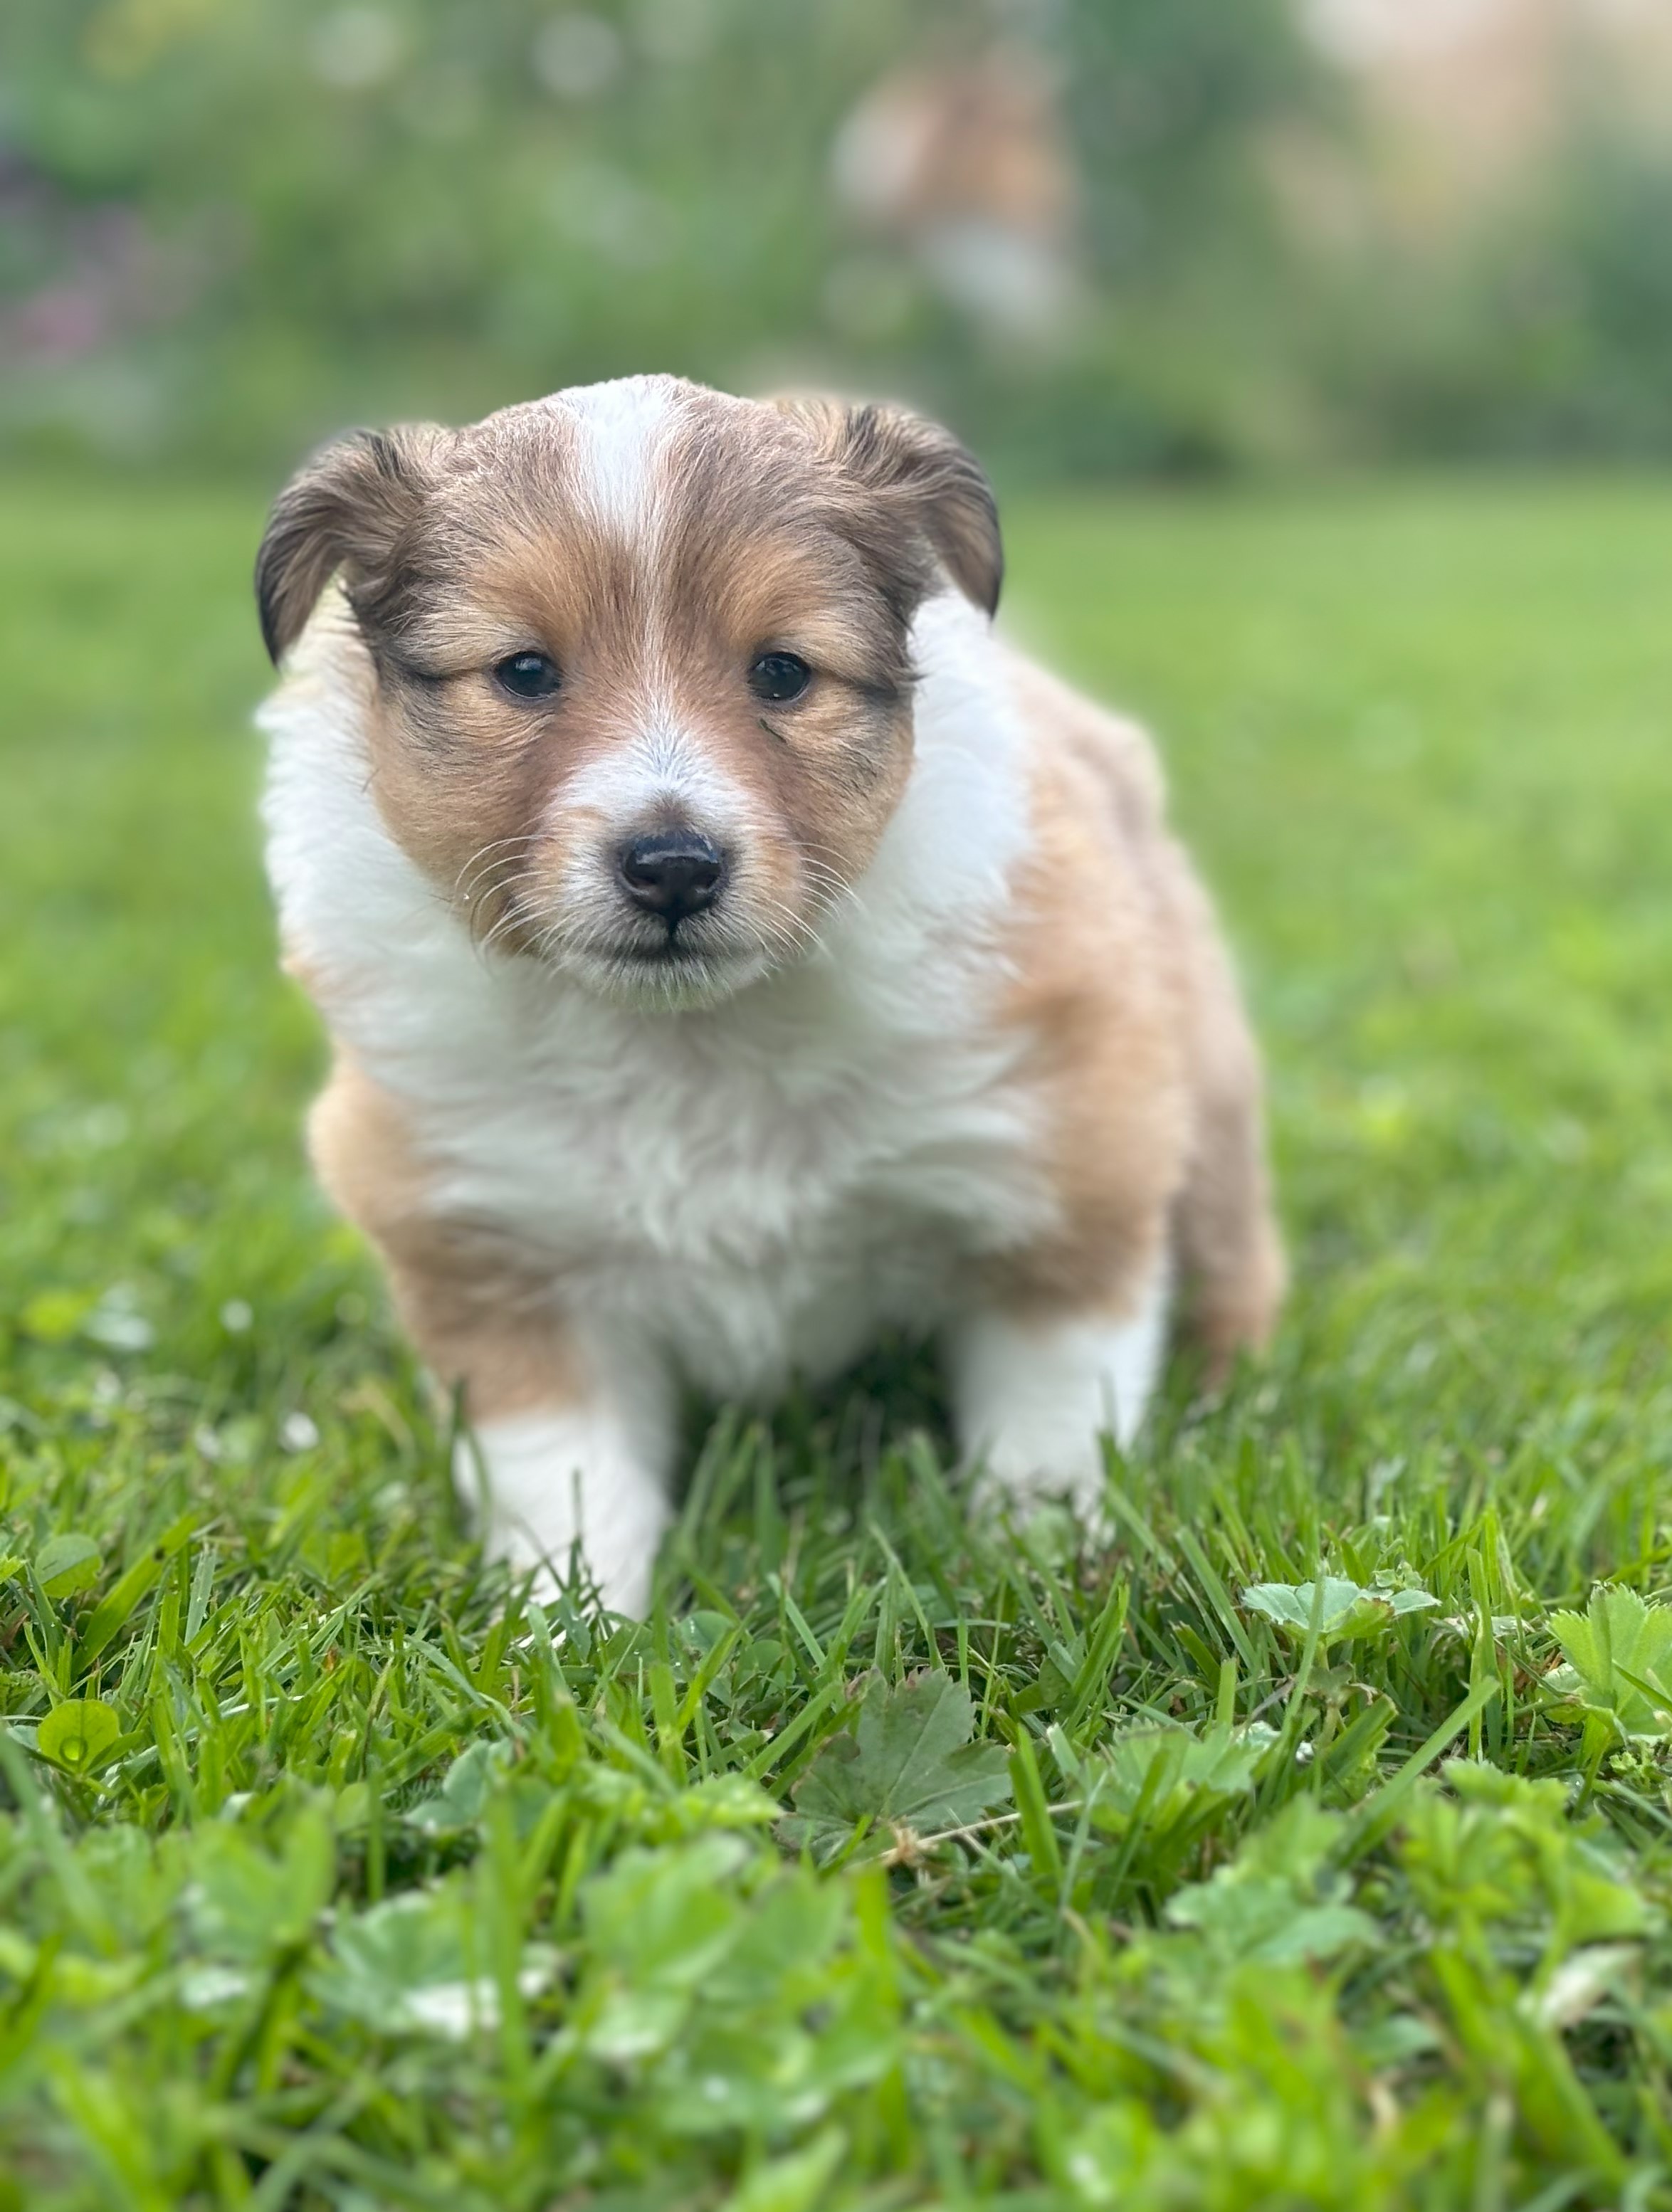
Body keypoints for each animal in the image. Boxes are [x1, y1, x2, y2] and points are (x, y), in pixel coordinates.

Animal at [257, 376, 1283, 1610]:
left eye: (782, 672)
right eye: (524, 672)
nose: (672, 867)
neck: (695, 1042)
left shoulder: (1064, 1183)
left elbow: (1046, 1435)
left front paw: (1040, 1573)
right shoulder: (504, 1263)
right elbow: (567, 1486)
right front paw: (565, 1628)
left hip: (1204, 1104)